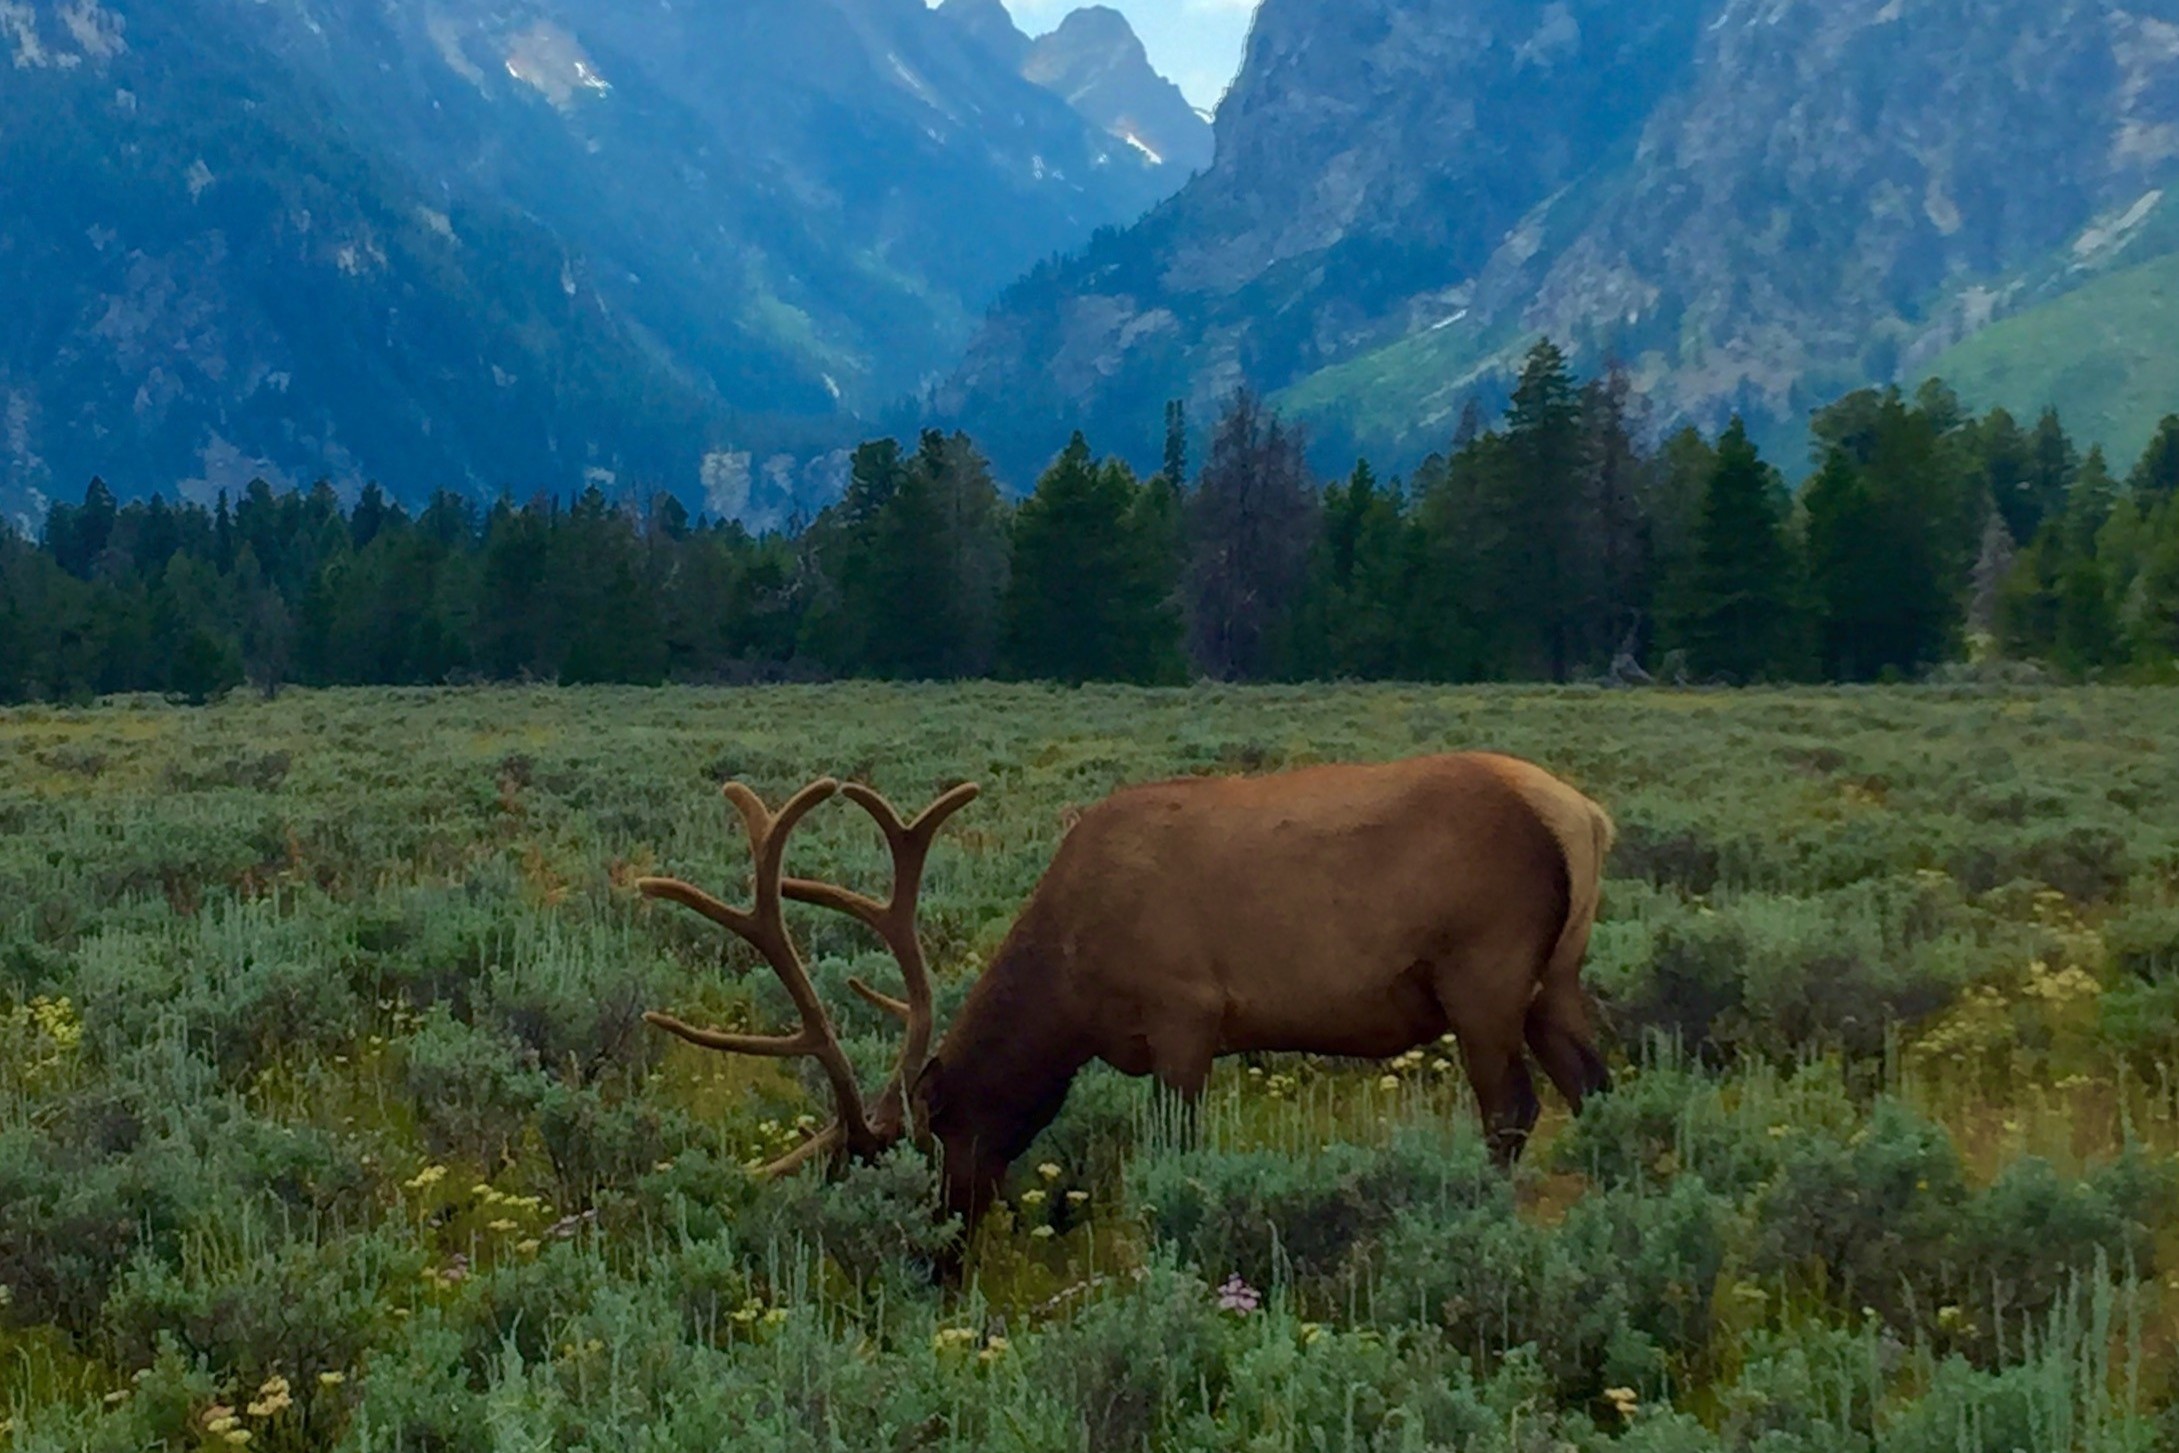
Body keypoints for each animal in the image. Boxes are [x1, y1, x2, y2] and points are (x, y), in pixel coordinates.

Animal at [636, 749, 1621, 1254]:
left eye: (918, 1154)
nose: (935, 1261)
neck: (1073, 985)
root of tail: (1584, 816)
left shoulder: (1187, 1013)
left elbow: (1176, 1152)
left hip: (1482, 971)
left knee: (1511, 1107)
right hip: (1555, 980)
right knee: (1597, 1088)